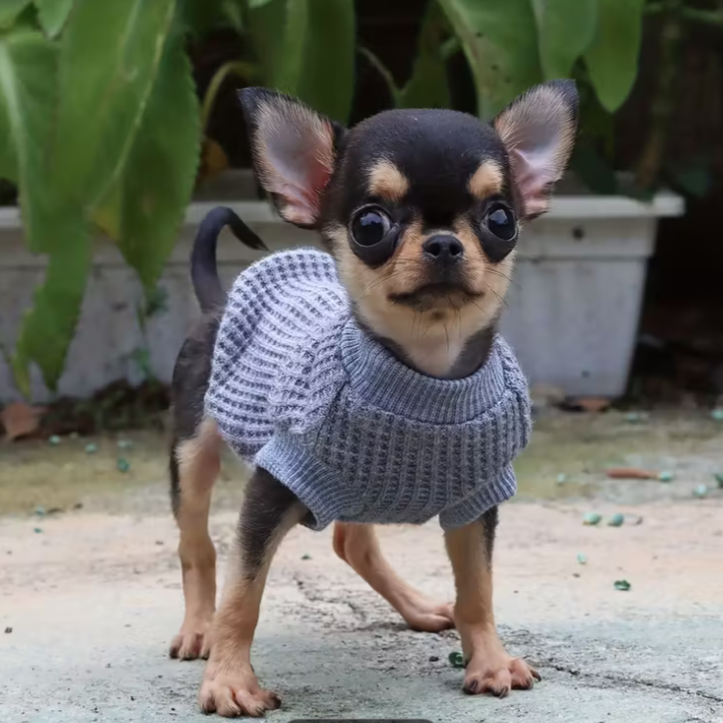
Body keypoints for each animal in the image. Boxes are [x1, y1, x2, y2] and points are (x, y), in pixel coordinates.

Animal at [168, 80, 578, 717]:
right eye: (369, 225)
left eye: (501, 218)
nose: (444, 243)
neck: (427, 375)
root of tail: (217, 300)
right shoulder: (271, 491)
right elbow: (243, 595)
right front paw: (230, 679)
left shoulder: (476, 502)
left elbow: (478, 590)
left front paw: (488, 660)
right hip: (193, 456)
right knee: (198, 549)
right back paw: (197, 630)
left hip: (355, 490)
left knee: (350, 541)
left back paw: (417, 606)